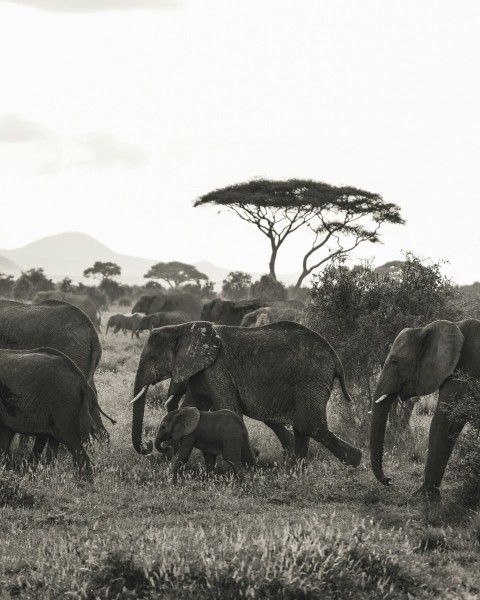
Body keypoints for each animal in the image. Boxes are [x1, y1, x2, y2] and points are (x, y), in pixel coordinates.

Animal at [129, 322, 362, 466]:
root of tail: (336, 360)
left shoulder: (217, 368)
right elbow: (193, 407)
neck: (183, 328)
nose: (147, 446)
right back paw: (295, 468)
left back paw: (355, 460)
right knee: (302, 428)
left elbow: (229, 407)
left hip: (311, 380)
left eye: (152, 358)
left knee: (310, 426)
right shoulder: (201, 371)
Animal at [372, 322, 480, 500]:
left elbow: (442, 422)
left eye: (394, 362)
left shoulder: (465, 368)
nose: (389, 480)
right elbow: (452, 426)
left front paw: (422, 496)